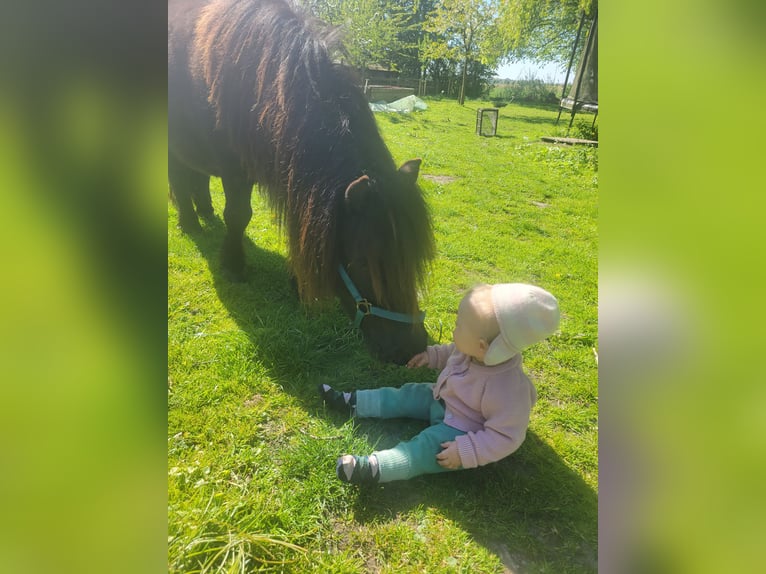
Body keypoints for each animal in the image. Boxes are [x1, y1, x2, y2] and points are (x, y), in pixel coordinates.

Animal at [168, 0, 435, 364]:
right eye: (364, 263)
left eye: (413, 257)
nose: (411, 348)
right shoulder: (235, 169)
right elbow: (238, 216)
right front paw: (234, 266)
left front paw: (296, 281)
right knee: (180, 178)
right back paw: (190, 222)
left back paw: (204, 212)